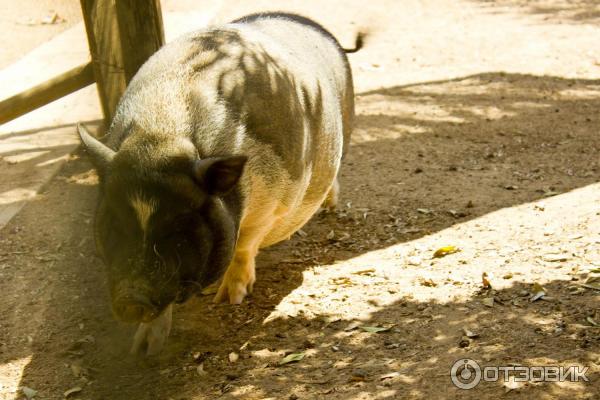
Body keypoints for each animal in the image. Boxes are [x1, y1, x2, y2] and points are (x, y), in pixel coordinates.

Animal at [77, 11, 364, 356]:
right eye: (115, 223)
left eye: (178, 226)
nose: (131, 299)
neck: (161, 135)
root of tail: (313, 25)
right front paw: (143, 350)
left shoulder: (275, 202)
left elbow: (244, 245)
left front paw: (229, 299)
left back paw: (329, 208)